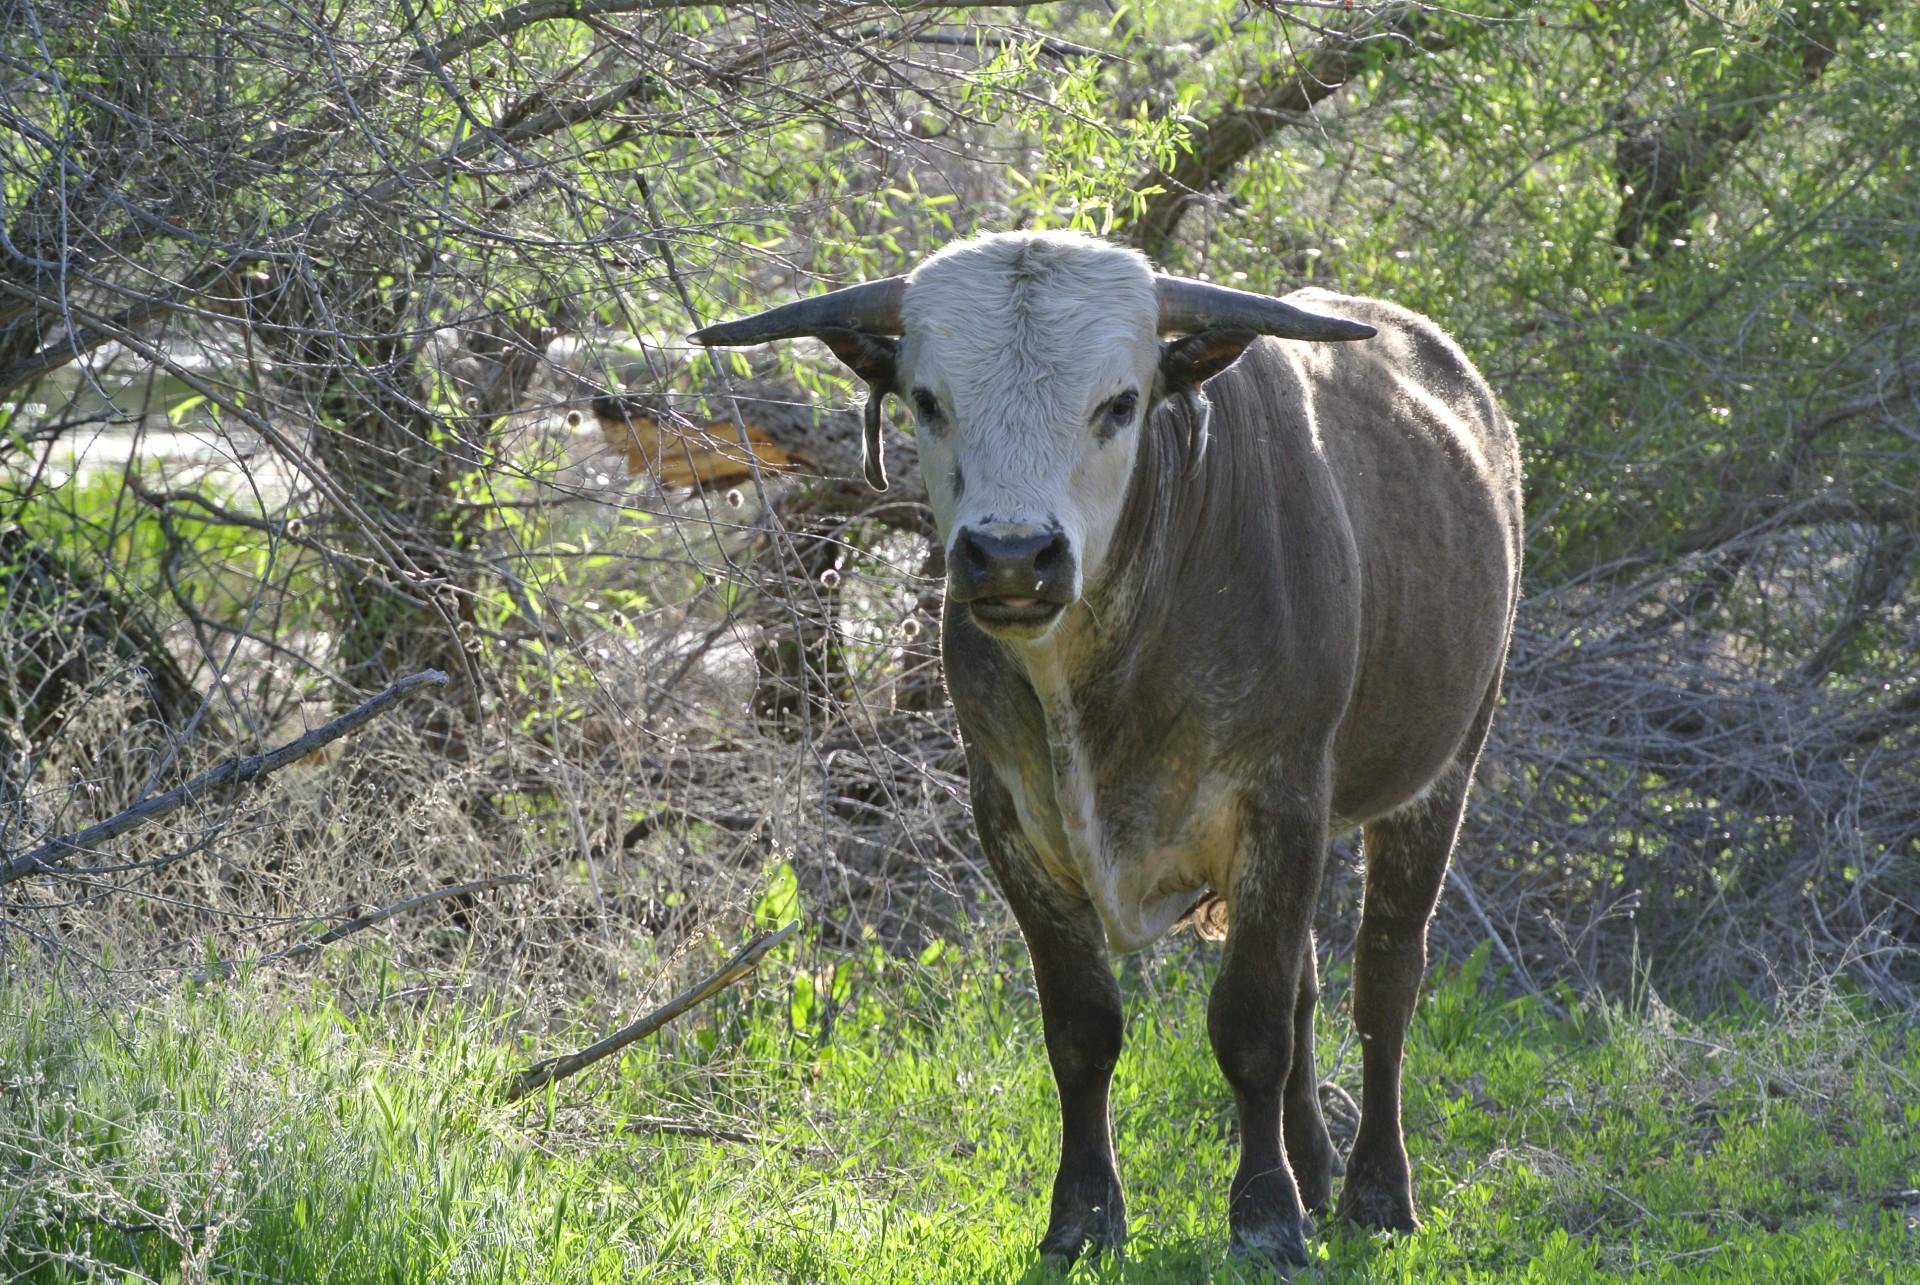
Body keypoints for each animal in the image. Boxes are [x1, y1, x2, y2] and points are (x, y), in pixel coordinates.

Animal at [691, 230, 1512, 1260]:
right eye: (928, 399)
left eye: (1120, 402)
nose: (1010, 555)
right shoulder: (1011, 818)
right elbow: (1084, 1028)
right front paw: (1083, 1214)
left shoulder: (1279, 801)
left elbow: (1250, 1025)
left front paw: (1266, 1216)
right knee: (1311, 986)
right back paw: (1317, 1166)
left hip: (1443, 770)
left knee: (1386, 981)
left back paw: (1375, 1190)